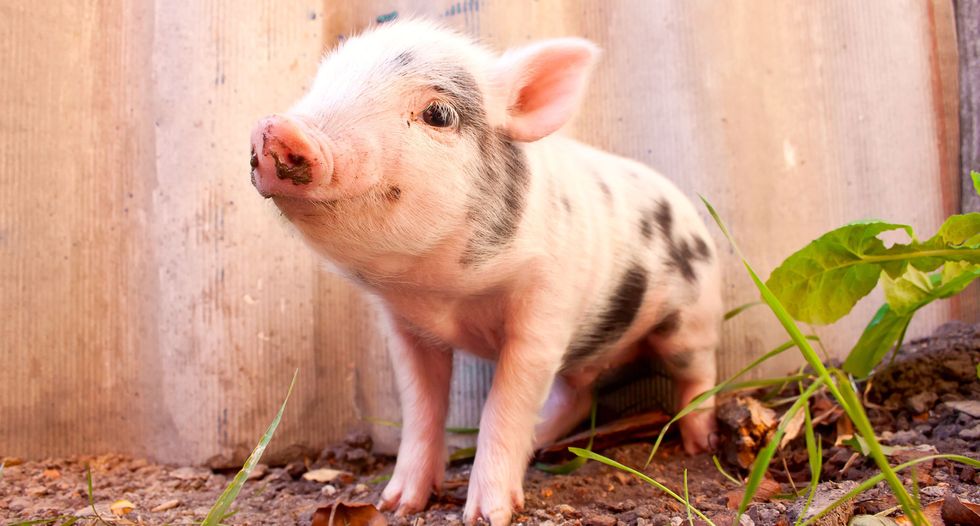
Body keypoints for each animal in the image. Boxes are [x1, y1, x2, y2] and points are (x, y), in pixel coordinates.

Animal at [249, 19, 721, 526]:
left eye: (438, 114)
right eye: (320, 85)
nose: (275, 128)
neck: (444, 294)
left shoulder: (545, 308)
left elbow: (506, 403)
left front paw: (486, 515)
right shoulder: (405, 328)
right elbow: (421, 406)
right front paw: (396, 504)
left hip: (690, 319)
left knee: (697, 372)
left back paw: (699, 442)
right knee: (578, 394)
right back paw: (544, 438)